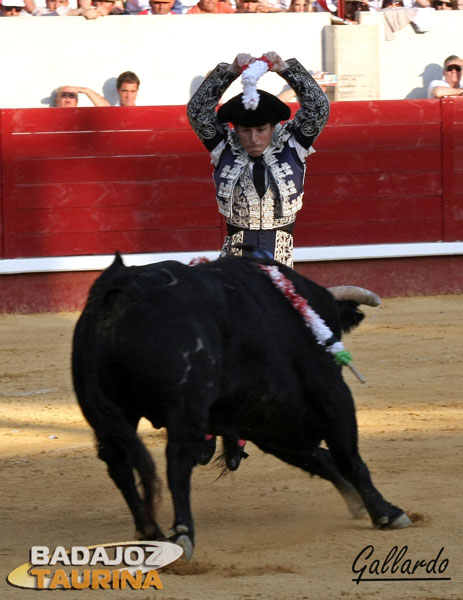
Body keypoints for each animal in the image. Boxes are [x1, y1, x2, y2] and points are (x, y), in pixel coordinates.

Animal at [72, 252, 414, 556]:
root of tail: (120, 287)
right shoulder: (331, 394)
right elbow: (348, 457)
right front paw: (387, 513)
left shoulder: (268, 421)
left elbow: (318, 457)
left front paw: (357, 502)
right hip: (186, 407)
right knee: (177, 461)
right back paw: (182, 535)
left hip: (112, 414)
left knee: (118, 462)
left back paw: (150, 533)